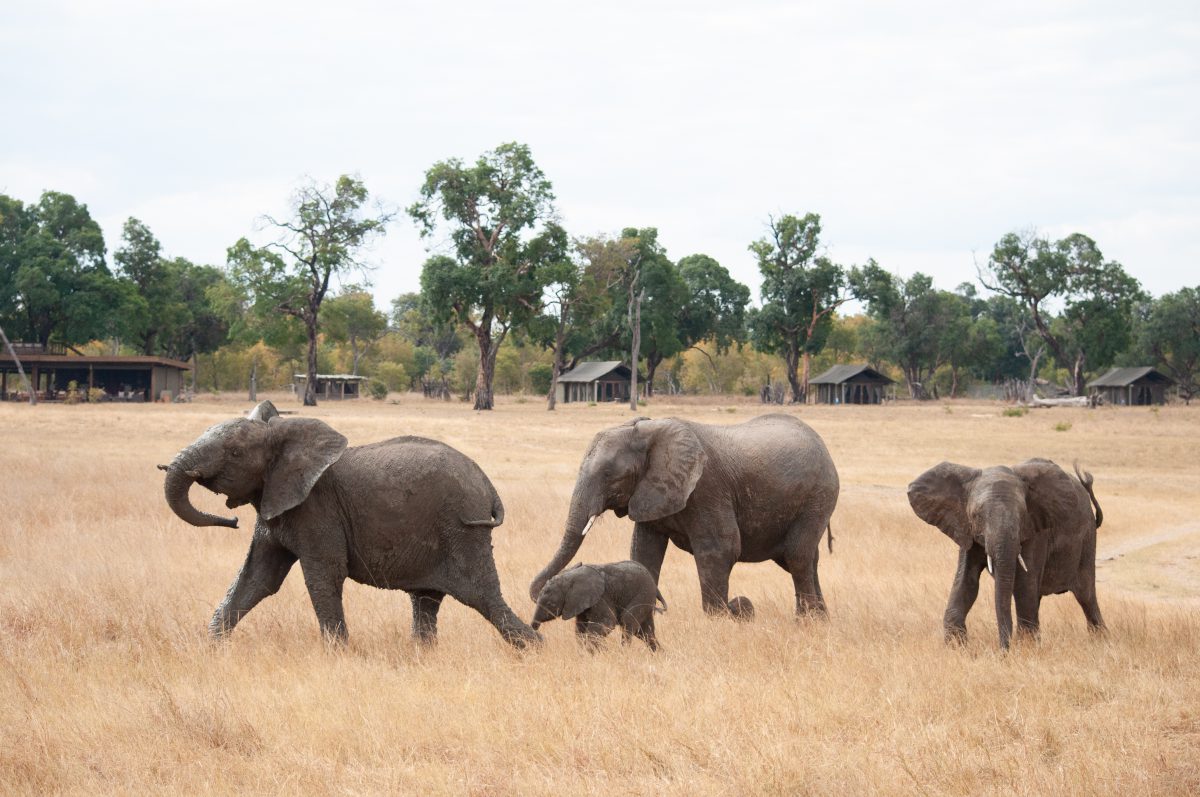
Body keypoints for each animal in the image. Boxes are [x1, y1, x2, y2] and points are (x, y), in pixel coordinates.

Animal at [159, 398, 540, 648]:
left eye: (235, 453)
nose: (233, 520)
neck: (283, 435)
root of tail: (488, 486)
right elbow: (257, 578)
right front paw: (211, 647)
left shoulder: (316, 508)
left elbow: (323, 575)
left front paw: (338, 654)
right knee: (426, 601)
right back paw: (423, 654)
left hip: (463, 529)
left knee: (482, 597)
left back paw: (536, 648)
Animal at [530, 412, 840, 619]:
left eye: (608, 475)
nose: (738, 605)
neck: (648, 431)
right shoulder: (650, 491)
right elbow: (644, 551)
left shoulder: (707, 488)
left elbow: (720, 549)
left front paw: (719, 621)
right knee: (806, 559)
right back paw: (820, 620)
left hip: (819, 496)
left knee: (797, 555)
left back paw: (806, 621)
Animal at [532, 556, 667, 652]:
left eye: (550, 604)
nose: (534, 627)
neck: (570, 578)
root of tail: (656, 588)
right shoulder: (580, 604)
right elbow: (580, 629)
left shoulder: (601, 598)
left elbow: (607, 623)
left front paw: (598, 651)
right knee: (644, 631)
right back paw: (659, 654)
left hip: (643, 594)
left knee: (628, 622)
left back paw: (624, 653)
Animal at [907, 458, 1104, 652]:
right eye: (977, 515)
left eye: (1022, 514)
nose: (1003, 651)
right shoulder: (966, 530)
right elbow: (966, 581)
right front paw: (956, 647)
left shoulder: (1036, 530)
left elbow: (1024, 583)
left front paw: (1026, 649)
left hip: (1087, 538)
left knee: (1086, 595)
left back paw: (1101, 640)